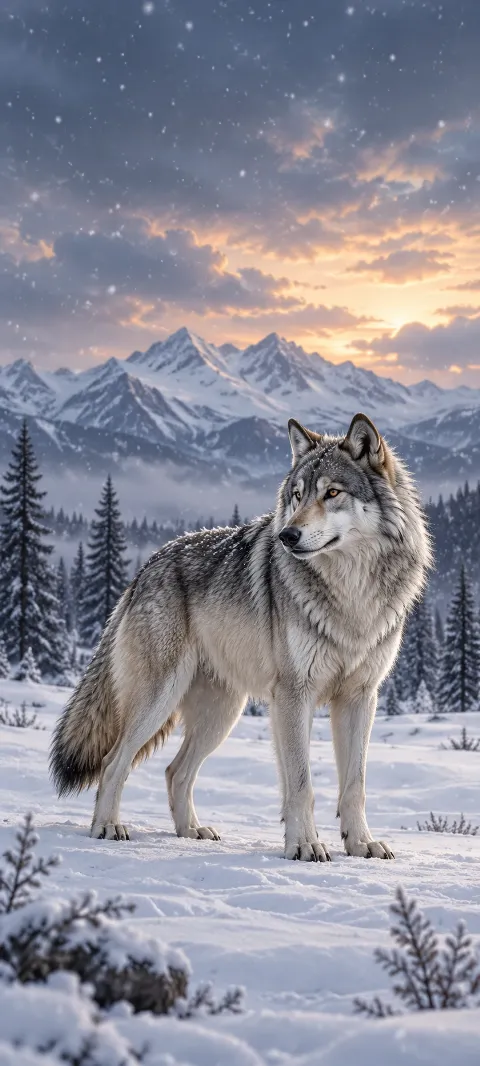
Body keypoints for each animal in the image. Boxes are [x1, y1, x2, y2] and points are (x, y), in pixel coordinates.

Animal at [51, 413, 430, 861]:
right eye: (297, 496)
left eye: (332, 493)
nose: (287, 536)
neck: (351, 593)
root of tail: (145, 568)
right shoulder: (293, 695)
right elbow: (301, 784)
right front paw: (305, 845)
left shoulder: (360, 697)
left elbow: (355, 785)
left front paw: (361, 844)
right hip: (161, 698)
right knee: (114, 762)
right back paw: (108, 827)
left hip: (222, 714)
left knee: (175, 771)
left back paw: (191, 831)